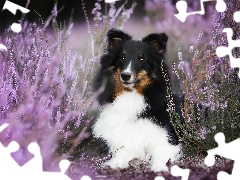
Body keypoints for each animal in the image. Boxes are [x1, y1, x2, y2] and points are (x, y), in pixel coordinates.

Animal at [92, 28, 182, 172]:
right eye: (122, 57)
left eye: (142, 59)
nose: (125, 75)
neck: (131, 95)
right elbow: (122, 151)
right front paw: (115, 163)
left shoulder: (168, 140)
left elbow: (161, 153)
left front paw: (159, 168)